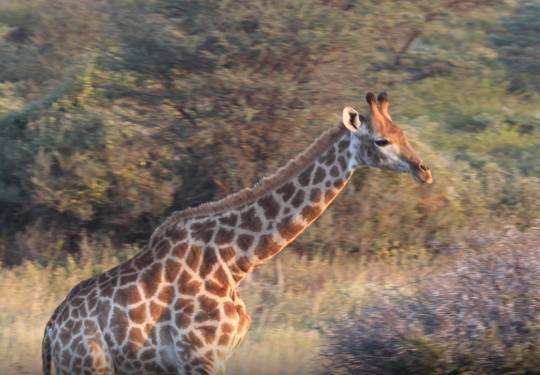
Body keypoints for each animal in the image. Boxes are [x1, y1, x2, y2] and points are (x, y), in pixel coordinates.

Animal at [42, 92, 432, 375]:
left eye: (403, 134)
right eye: (381, 141)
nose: (423, 170)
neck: (235, 261)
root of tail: (50, 332)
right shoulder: (201, 357)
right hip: (91, 366)